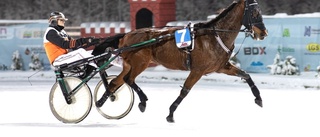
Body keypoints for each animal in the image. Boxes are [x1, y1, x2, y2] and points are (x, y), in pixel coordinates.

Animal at [95, 0, 268, 123]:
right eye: (254, 12)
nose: (264, 33)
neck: (215, 36)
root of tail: (126, 35)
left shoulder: (221, 67)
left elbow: (246, 75)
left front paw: (259, 98)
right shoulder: (197, 70)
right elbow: (185, 90)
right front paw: (170, 113)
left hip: (129, 64)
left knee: (115, 82)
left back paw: (99, 102)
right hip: (140, 63)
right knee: (128, 79)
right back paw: (142, 101)